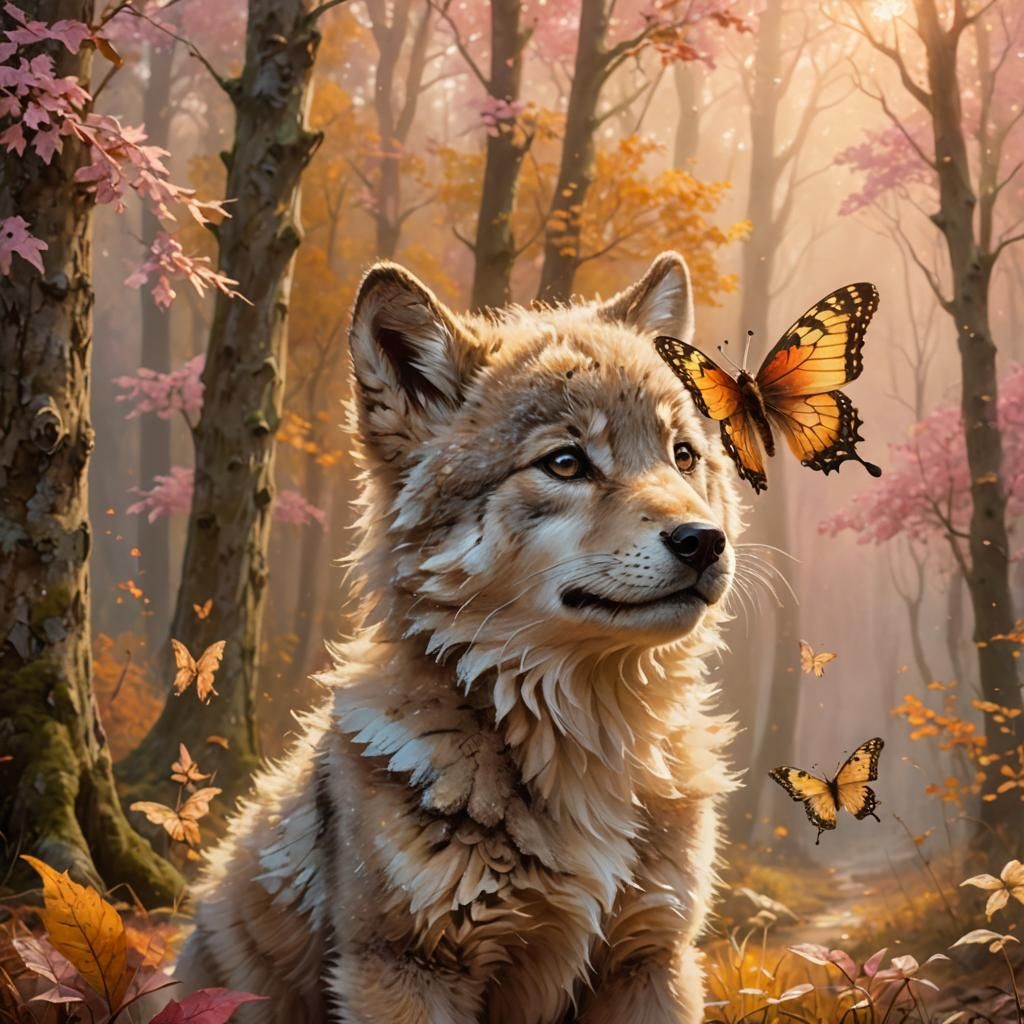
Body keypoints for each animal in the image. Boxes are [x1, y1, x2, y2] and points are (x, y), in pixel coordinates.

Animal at [173, 252, 743, 1023]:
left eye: (683, 455)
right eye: (565, 463)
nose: (703, 541)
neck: (588, 751)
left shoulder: (652, 960)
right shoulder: (406, 970)